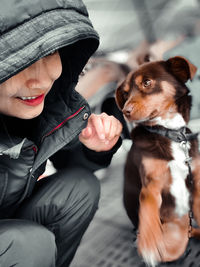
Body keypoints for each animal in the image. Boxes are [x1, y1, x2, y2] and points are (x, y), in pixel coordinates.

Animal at [115, 55, 200, 266]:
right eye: (125, 93)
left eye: (147, 83)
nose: (126, 111)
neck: (170, 132)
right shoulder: (150, 187)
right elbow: (148, 213)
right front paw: (148, 242)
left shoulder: (196, 179)